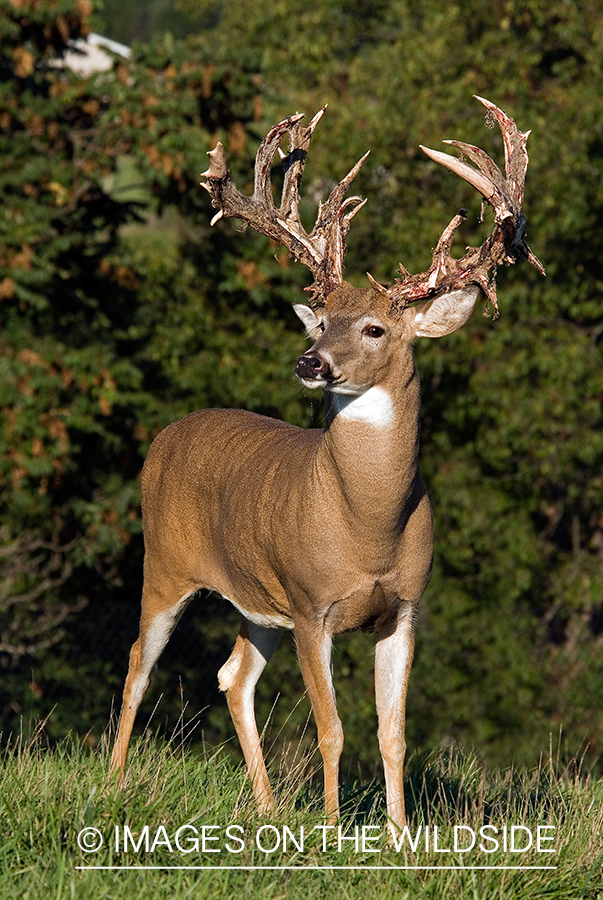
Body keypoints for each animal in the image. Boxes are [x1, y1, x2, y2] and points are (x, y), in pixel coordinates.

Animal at [109, 96, 548, 836]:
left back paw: (264, 805)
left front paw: (398, 837)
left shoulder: (402, 608)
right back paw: (113, 783)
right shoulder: (313, 604)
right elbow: (332, 727)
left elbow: (392, 731)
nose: (309, 362)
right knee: (139, 661)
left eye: (374, 328)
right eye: (320, 323)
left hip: (260, 600)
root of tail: (166, 435)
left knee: (232, 675)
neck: (366, 525)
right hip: (166, 564)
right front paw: (334, 829)